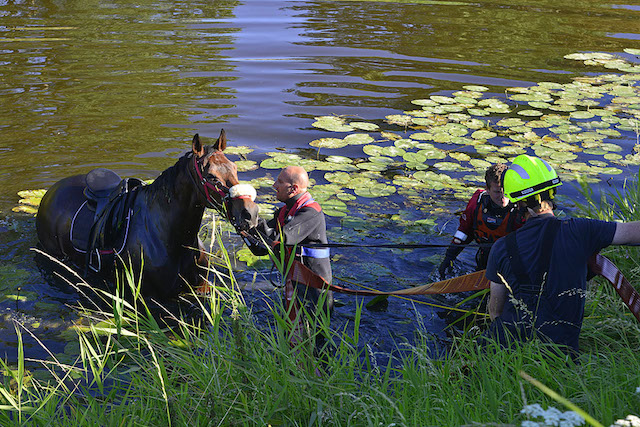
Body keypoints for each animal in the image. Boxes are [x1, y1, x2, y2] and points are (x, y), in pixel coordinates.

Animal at [35, 130, 258, 298]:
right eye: (211, 176)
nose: (250, 213)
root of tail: (51, 191)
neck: (173, 239)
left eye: (235, 167)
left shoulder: (200, 288)